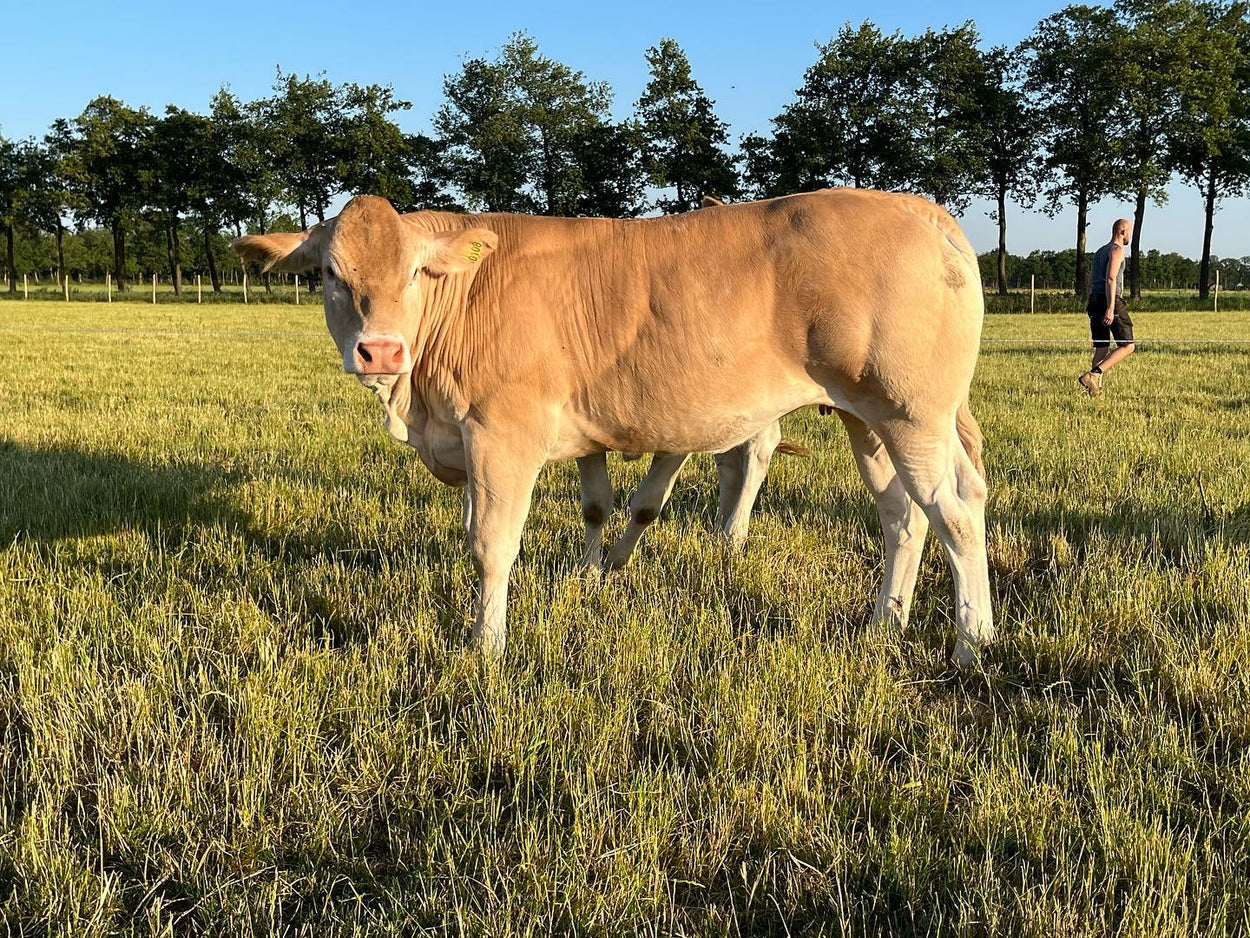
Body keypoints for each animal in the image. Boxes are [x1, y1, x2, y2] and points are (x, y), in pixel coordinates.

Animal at [233, 188, 991, 665]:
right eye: (331, 273)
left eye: (417, 270)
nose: (381, 350)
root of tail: (920, 209)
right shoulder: (559, 435)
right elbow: (593, 507)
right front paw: (589, 581)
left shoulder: (502, 433)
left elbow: (491, 544)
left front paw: (485, 647)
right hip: (869, 419)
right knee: (902, 515)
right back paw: (883, 624)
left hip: (911, 412)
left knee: (954, 512)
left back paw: (971, 641)